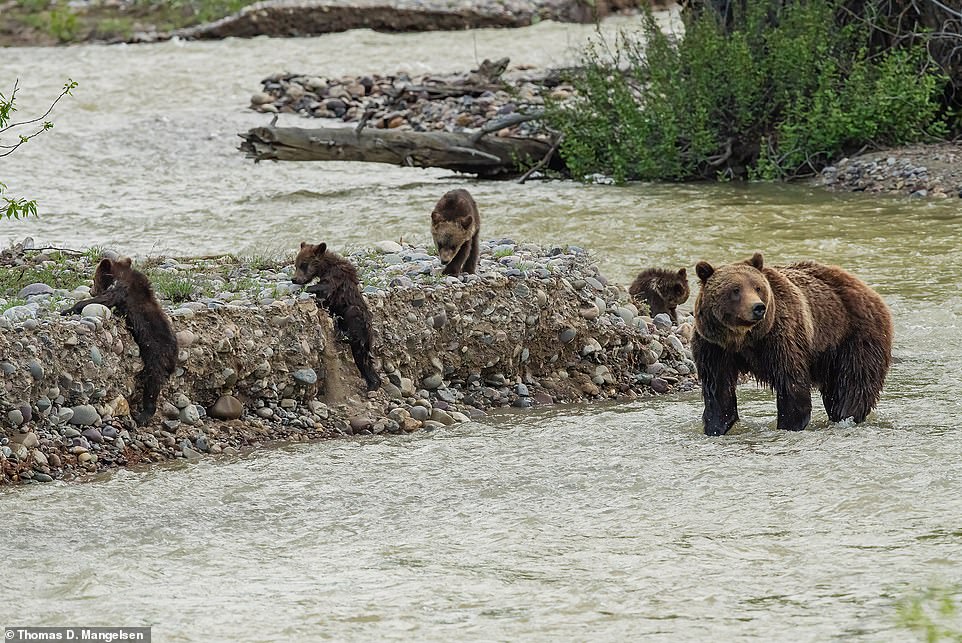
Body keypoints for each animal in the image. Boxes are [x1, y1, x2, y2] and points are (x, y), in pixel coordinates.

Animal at [62, 256, 178, 428]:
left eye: (94, 279)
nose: (90, 290)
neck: (119, 276)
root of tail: (174, 359)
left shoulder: (121, 291)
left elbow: (105, 299)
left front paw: (68, 309)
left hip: (157, 355)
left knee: (152, 384)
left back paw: (142, 415)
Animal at [292, 243, 378, 390]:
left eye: (303, 264)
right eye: (296, 264)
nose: (294, 279)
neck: (325, 267)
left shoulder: (336, 278)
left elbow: (325, 289)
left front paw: (308, 291)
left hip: (358, 318)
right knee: (363, 359)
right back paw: (373, 382)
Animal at [688, 254, 892, 436]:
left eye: (757, 287)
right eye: (735, 289)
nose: (758, 307)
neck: (742, 339)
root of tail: (869, 290)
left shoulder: (781, 338)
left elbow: (791, 384)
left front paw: (789, 424)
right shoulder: (713, 348)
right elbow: (719, 392)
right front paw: (715, 427)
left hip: (853, 338)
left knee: (852, 386)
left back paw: (846, 416)